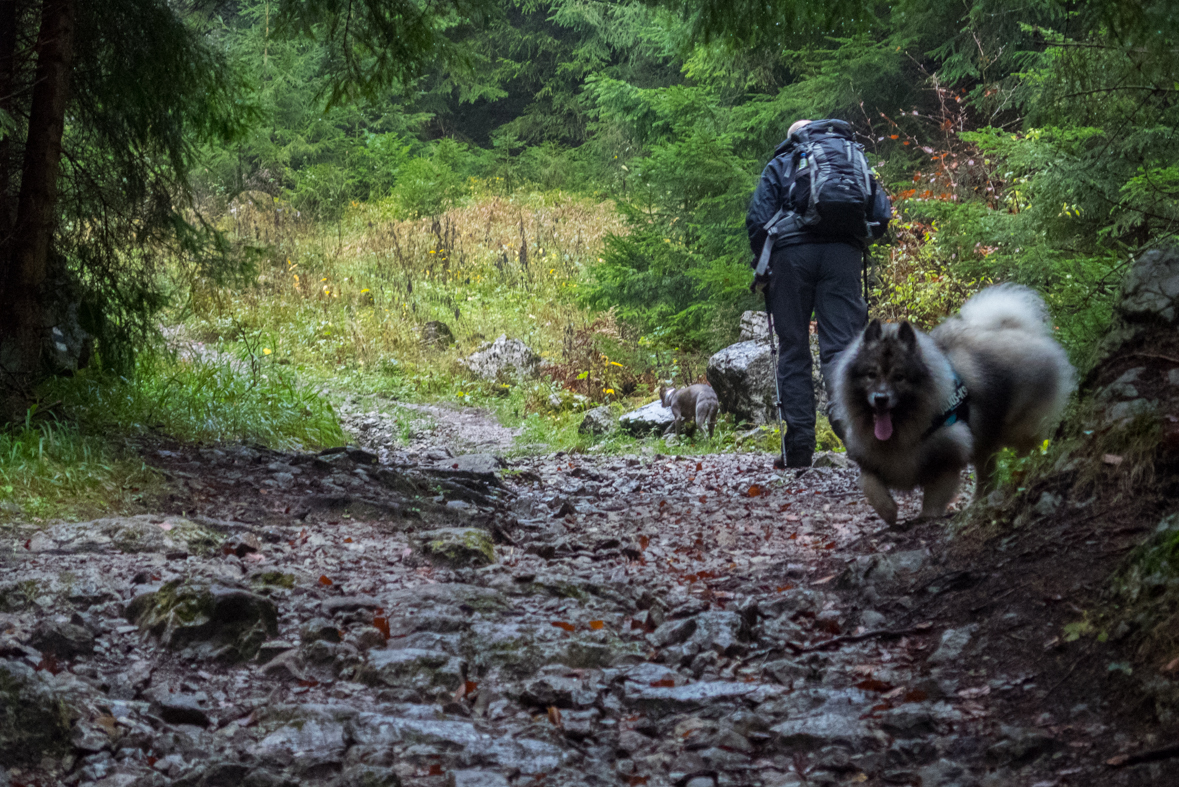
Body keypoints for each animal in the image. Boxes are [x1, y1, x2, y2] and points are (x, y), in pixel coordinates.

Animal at [834, 286, 1075, 525]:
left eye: (899, 377)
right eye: (871, 375)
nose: (881, 398)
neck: (902, 428)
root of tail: (1025, 332)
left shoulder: (949, 452)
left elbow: (935, 494)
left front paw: (927, 516)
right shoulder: (869, 455)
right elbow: (869, 484)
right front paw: (888, 511)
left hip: (1017, 429)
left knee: (1026, 455)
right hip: (983, 440)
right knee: (987, 476)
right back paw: (977, 504)